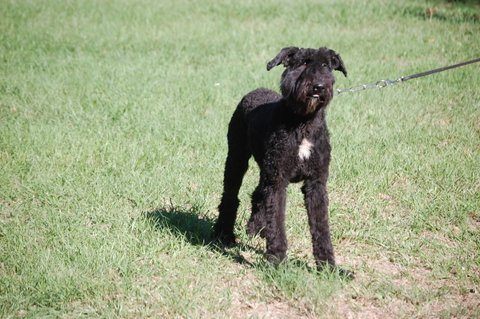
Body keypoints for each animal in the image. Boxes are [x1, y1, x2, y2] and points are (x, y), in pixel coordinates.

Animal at [216, 47, 346, 272]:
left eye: (326, 65)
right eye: (303, 63)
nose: (318, 86)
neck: (303, 122)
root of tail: (254, 92)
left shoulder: (316, 182)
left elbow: (321, 226)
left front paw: (328, 266)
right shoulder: (278, 181)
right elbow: (277, 221)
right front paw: (277, 260)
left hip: (265, 168)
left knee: (258, 194)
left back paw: (255, 229)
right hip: (237, 157)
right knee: (230, 195)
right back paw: (224, 234)